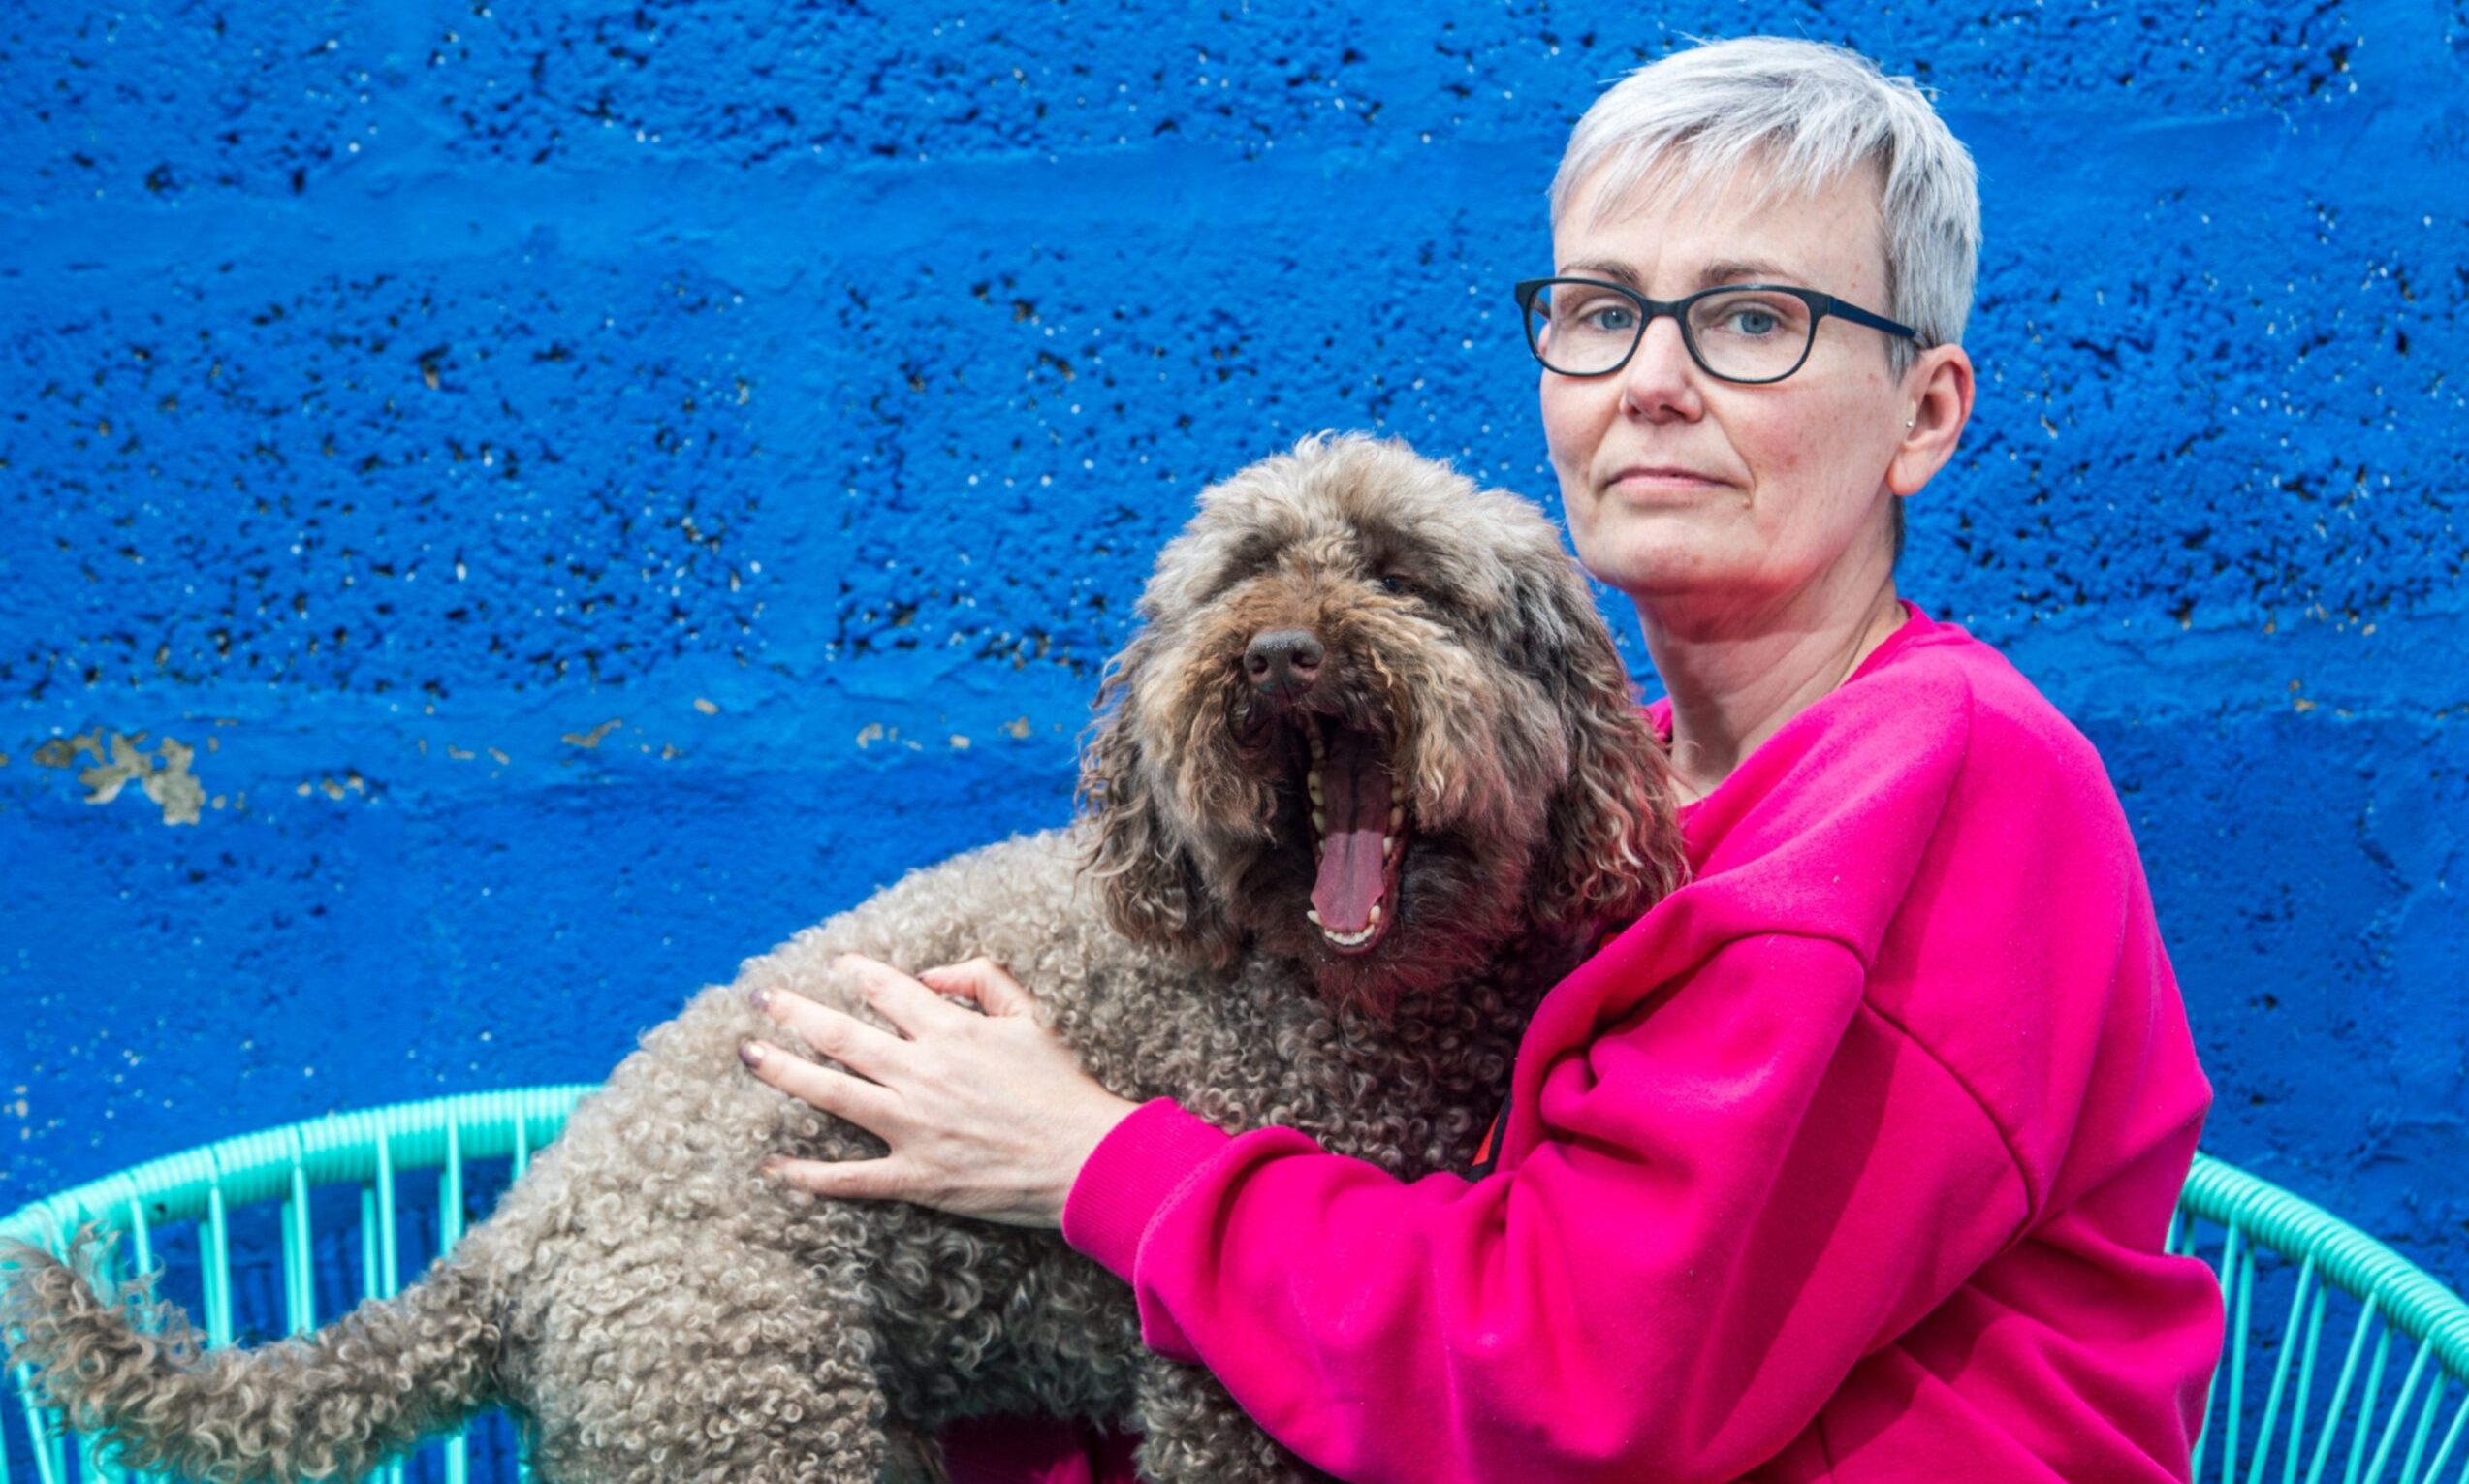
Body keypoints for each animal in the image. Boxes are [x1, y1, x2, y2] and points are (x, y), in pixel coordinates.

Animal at [0, 434, 1689, 1481]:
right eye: (1236, 575)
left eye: (1406, 572)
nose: (1278, 653)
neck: (1339, 990)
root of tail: (517, 1232)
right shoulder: (1224, 1384)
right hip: (744, 1407)